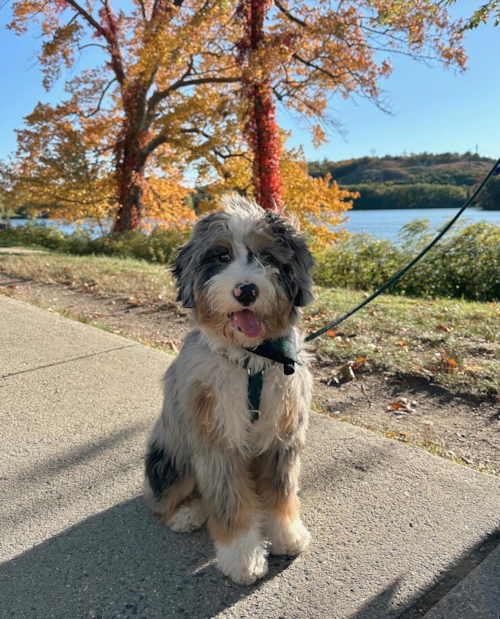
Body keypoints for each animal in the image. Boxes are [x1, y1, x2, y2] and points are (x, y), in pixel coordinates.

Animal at [144, 195, 312, 588]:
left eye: (267, 256)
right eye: (220, 256)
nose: (245, 290)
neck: (251, 360)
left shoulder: (283, 436)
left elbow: (281, 489)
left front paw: (285, 534)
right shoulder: (216, 440)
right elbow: (228, 499)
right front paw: (242, 558)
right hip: (169, 457)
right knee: (163, 500)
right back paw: (185, 513)